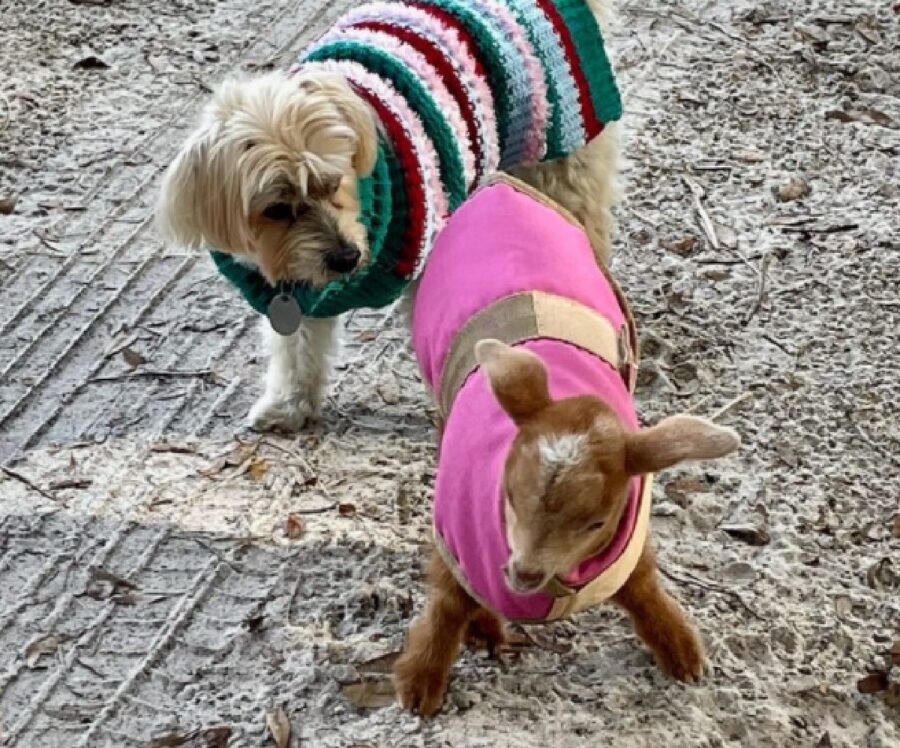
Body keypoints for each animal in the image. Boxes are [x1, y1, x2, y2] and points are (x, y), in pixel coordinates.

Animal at [158, 0, 624, 432]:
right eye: (276, 209)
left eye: (334, 181)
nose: (345, 258)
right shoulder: (299, 294)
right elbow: (298, 350)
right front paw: (290, 404)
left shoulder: (423, 262)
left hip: (562, 169)